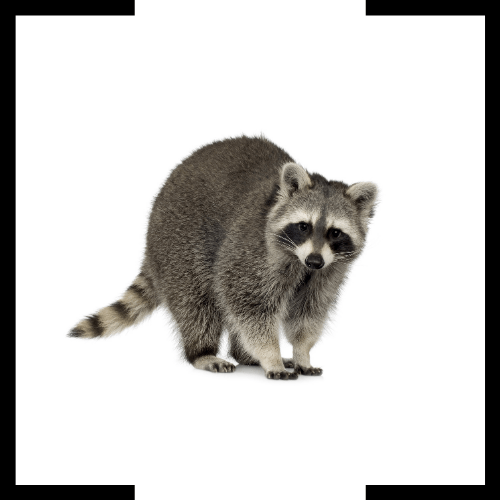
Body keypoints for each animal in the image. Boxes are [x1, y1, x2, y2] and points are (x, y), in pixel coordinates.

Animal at [68, 136, 376, 378]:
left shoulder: (329, 271)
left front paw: (302, 352)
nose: (314, 261)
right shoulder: (251, 250)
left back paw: (244, 355)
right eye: (303, 226)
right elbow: (248, 303)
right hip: (178, 243)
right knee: (197, 304)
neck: (299, 259)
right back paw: (202, 352)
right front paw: (270, 355)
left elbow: (309, 312)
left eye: (335, 233)